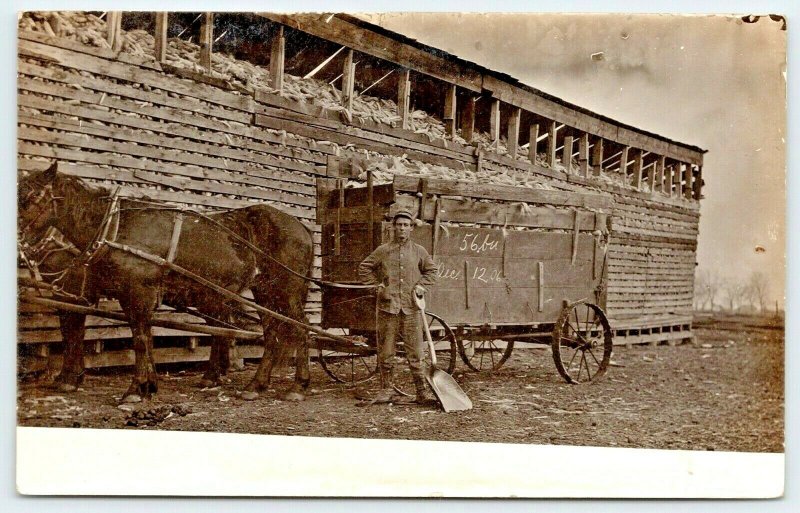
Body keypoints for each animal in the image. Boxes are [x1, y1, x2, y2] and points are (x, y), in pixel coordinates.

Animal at [18, 162, 316, 402]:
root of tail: (301, 226)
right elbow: (130, 336)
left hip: (286, 289)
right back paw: (255, 384)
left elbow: (137, 338)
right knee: (271, 332)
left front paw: (136, 388)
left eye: (31, 196)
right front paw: (147, 385)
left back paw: (298, 386)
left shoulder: (134, 293)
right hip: (263, 291)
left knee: (300, 328)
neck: (114, 228)